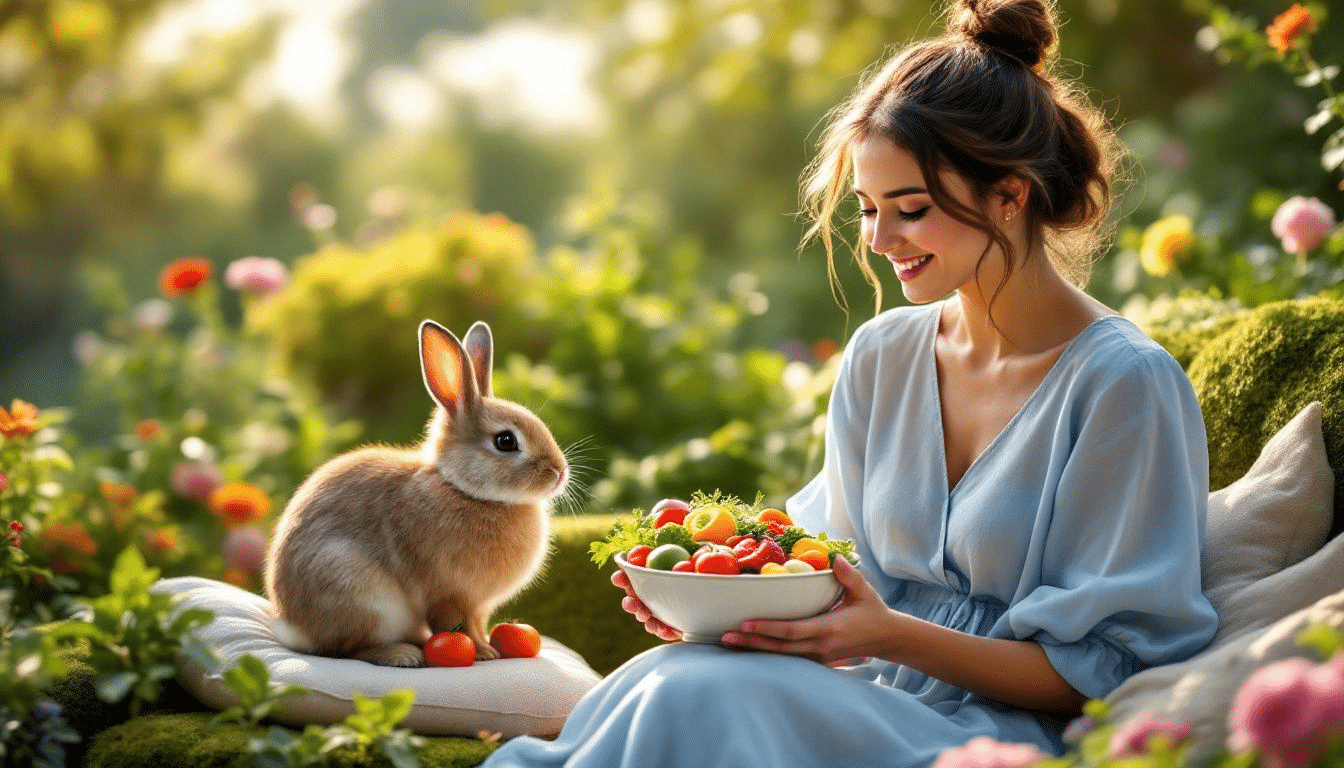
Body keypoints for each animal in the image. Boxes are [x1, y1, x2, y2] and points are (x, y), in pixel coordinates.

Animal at [264, 318, 569, 667]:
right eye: (505, 441)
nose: (559, 472)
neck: (463, 489)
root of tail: (291, 627)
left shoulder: (479, 606)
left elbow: (477, 626)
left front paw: (488, 649)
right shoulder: (450, 595)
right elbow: (458, 625)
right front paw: (483, 654)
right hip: (360, 595)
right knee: (347, 649)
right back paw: (403, 655)